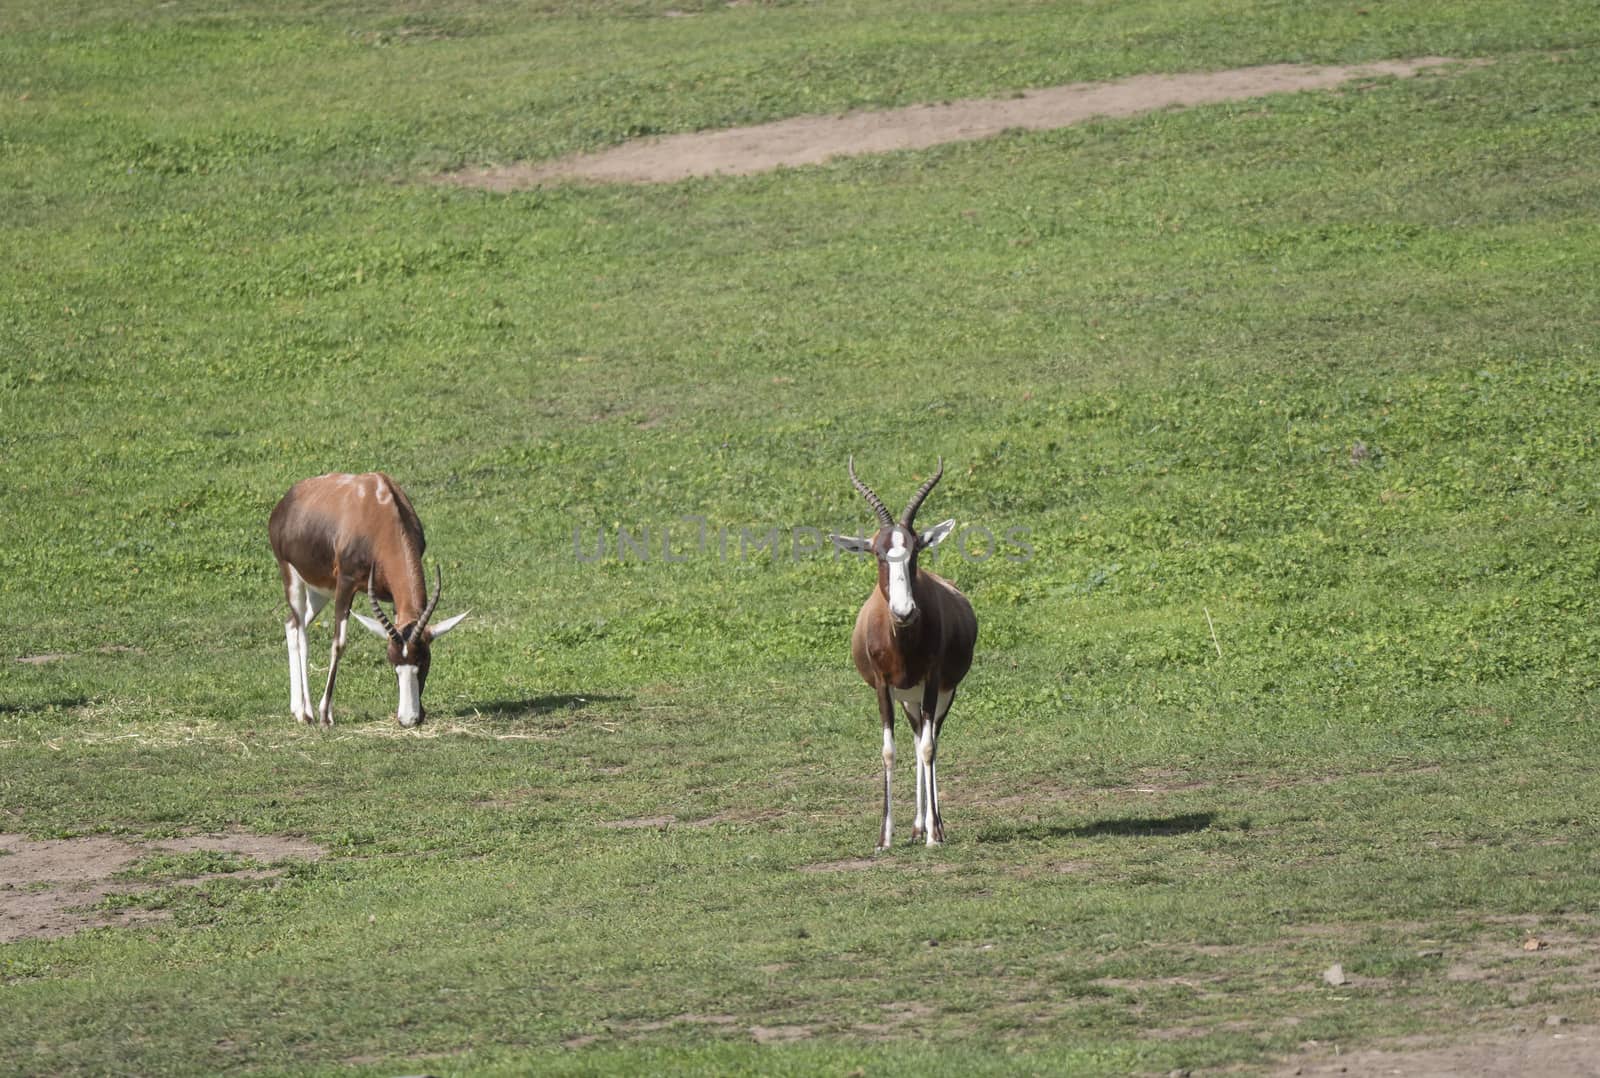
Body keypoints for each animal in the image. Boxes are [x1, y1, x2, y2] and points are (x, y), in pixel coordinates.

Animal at [265, 467, 467, 722]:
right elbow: (339, 644)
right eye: (392, 661)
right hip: (292, 576)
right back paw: (307, 713)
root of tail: (285, 502)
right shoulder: (346, 584)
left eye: (424, 659)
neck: (376, 506)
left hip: (319, 590)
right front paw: (326, 716)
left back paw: (297, 708)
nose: (409, 719)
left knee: (291, 624)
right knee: (301, 634)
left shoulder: (393, 601)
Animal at [832, 454, 979, 850]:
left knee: (930, 741)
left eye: (916, 551)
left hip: (940, 694)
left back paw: (933, 827)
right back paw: (915, 827)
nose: (904, 611)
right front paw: (884, 838)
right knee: (915, 737)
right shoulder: (884, 687)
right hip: (907, 698)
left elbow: (928, 748)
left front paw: (934, 837)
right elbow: (889, 750)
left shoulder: (932, 681)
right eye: (878, 553)